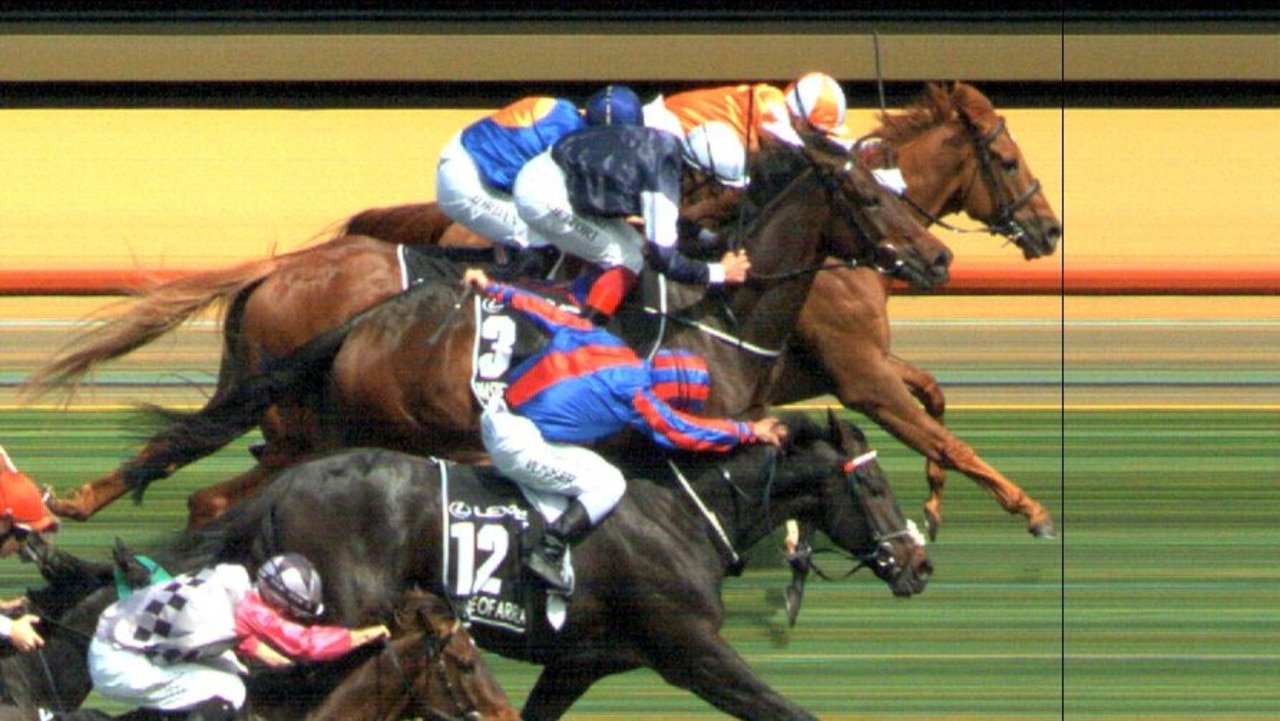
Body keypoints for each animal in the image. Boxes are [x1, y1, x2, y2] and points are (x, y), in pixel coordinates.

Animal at [27, 131, 952, 525]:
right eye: (866, 195)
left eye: (896, 186)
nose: (938, 259)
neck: (715, 318)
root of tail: (278, 272)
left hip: (302, 427)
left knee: (208, 484)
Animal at [167, 412, 931, 721]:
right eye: (872, 485)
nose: (918, 564)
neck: (682, 512)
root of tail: (281, 488)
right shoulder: (690, 649)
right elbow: (785, 708)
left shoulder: (578, 664)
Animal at [337, 81, 1059, 537]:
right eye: (1006, 159)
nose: (1049, 231)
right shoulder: (861, 375)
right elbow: (945, 436)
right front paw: (1030, 509)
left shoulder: (859, 363)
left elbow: (934, 397)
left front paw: (932, 503)